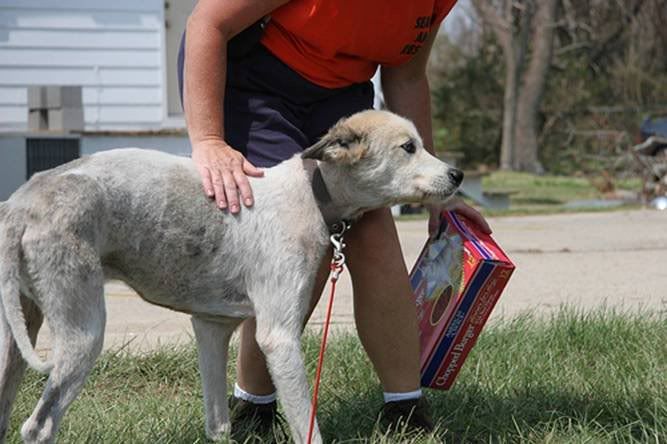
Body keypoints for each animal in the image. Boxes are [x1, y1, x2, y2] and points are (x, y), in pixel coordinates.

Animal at [0, 109, 464, 442]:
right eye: (408, 147)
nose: (458, 175)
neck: (310, 191)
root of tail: (22, 202)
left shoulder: (211, 328)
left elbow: (218, 424)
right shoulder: (278, 337)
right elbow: (307, 427)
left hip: (15, 336)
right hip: (83, 333)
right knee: (38, 427)